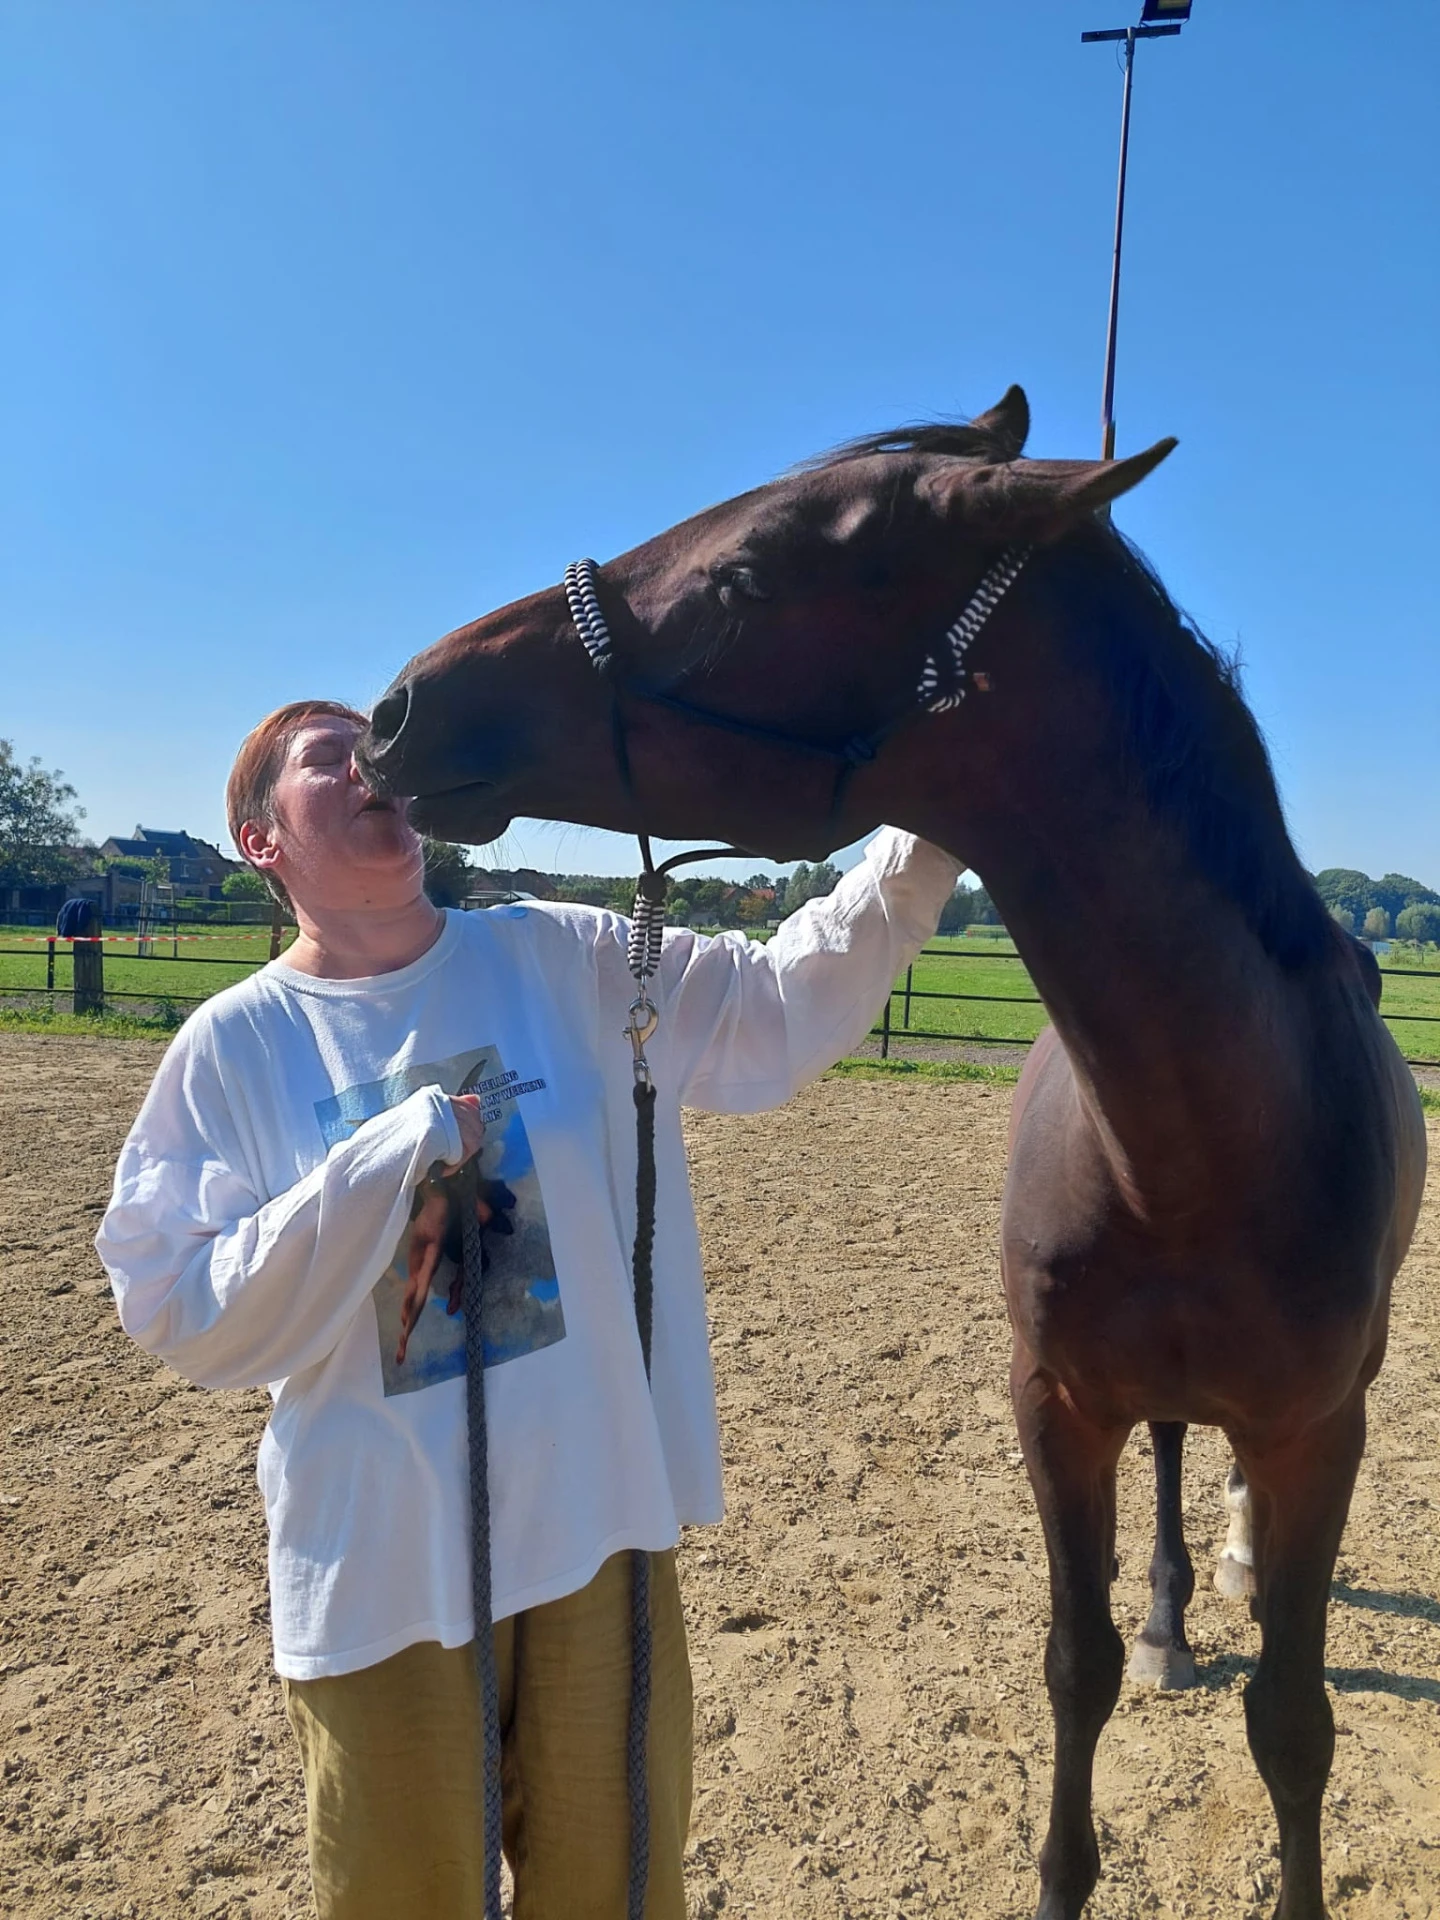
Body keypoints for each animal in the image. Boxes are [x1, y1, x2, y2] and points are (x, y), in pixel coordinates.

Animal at [358, 387, 1427, 1920]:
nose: (398, 708)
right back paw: (1176, 1611)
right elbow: (1078, 1666)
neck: (1197, 1143)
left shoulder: (1319, 1428)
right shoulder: (1057, 1407)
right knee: (1171, 1460)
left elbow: (1291, 1718)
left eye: (747, 579)